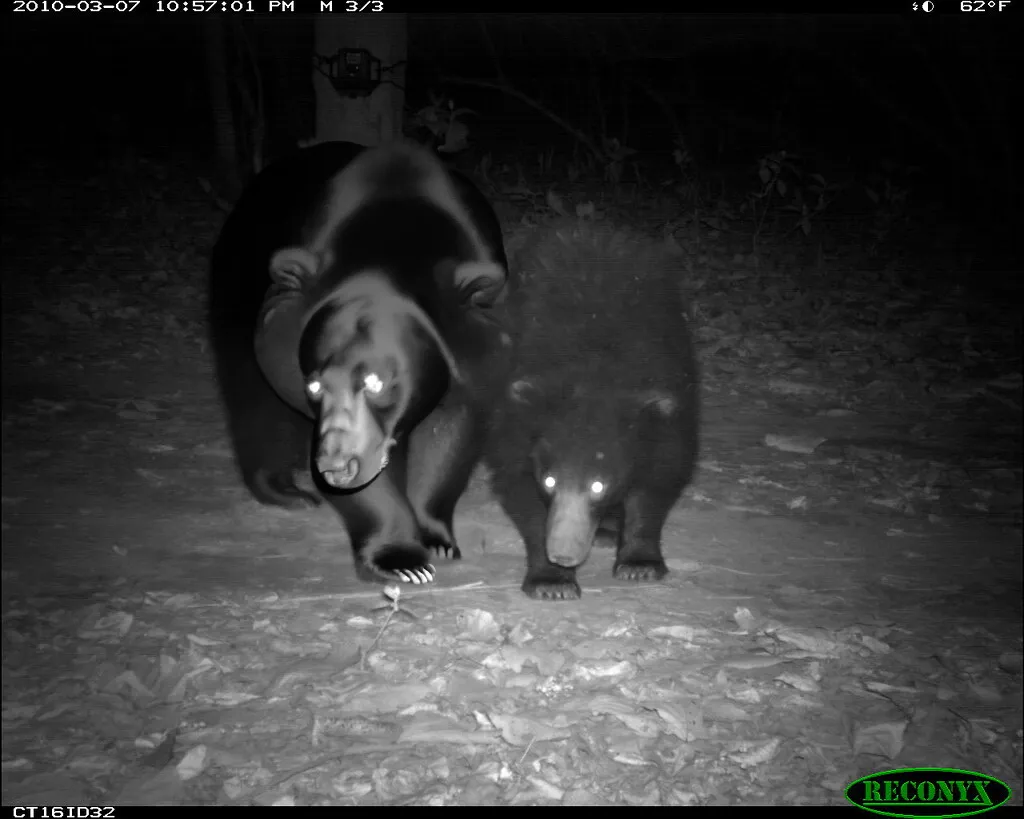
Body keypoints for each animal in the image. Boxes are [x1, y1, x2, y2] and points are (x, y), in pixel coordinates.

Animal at [209, 141, 513, 585]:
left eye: (376, 382)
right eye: (314, 385)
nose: (336, 467)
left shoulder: (476, 345)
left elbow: (450, 433)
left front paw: (437, 539)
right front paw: (404, 561)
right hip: (240, 293)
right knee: (253, 396)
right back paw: (286, 491)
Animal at [485, 221, 699, 600]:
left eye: (599, 485)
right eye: (550, 480)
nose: (563, 554)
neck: (594, 372)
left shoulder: (669, 407)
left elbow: (659, 479)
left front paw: (639, 565)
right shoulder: (515, 414)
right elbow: (519, 485)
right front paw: (551, 581)